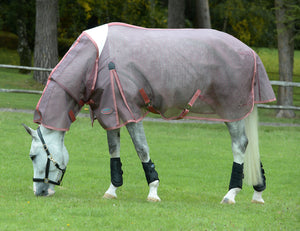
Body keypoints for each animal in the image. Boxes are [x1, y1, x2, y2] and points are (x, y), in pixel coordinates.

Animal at [24, 22, 274, 204]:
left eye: (33, 156)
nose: (39, 191)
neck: (96, 60)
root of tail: (250, 52)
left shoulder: (130, 112)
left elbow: (142, 149)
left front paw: (153, 191)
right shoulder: (111, 112)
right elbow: (114, 151)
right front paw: (112, 190)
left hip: (232, 111)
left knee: (240, 145)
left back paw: (231, 194)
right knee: (251, 148)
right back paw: (258, 193)